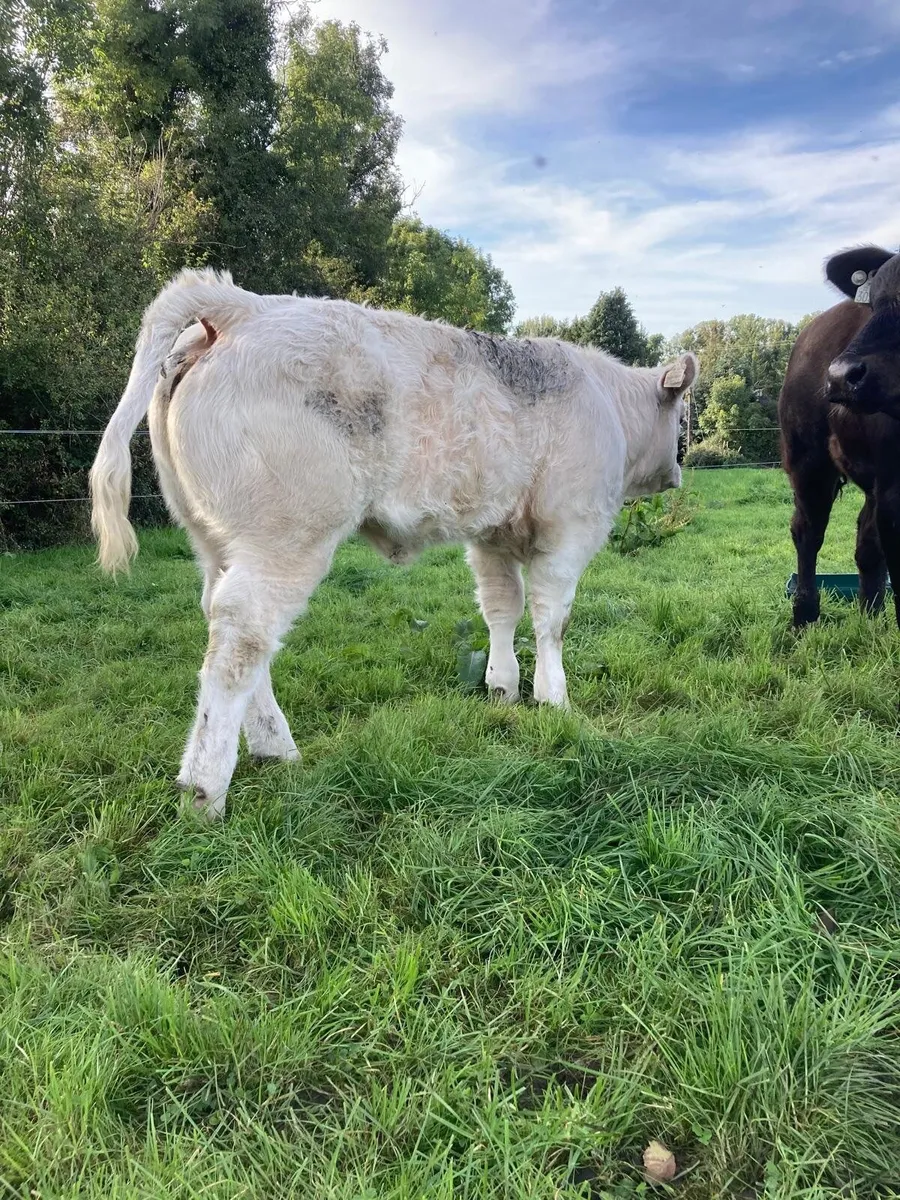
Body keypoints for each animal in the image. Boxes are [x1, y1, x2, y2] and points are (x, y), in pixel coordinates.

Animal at [90, 268, 697, 817]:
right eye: (680, 415)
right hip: (286, 539)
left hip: (214, 541)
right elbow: (552, 619)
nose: (678, 471)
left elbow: (503, 609)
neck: (609, 404)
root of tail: (244, 305)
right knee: (241, 643)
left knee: (230, 626)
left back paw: (275, 748)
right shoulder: (570, 529)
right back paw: (205, 790)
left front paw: (502, 688)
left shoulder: (491, 537)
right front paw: (555, 699)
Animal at [779, 245, 900, 629]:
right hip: (807, 458)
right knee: (808, 531)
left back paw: (870, 617)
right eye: (874, 303)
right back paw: (804, 616)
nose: (842, 374)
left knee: (867, 543)